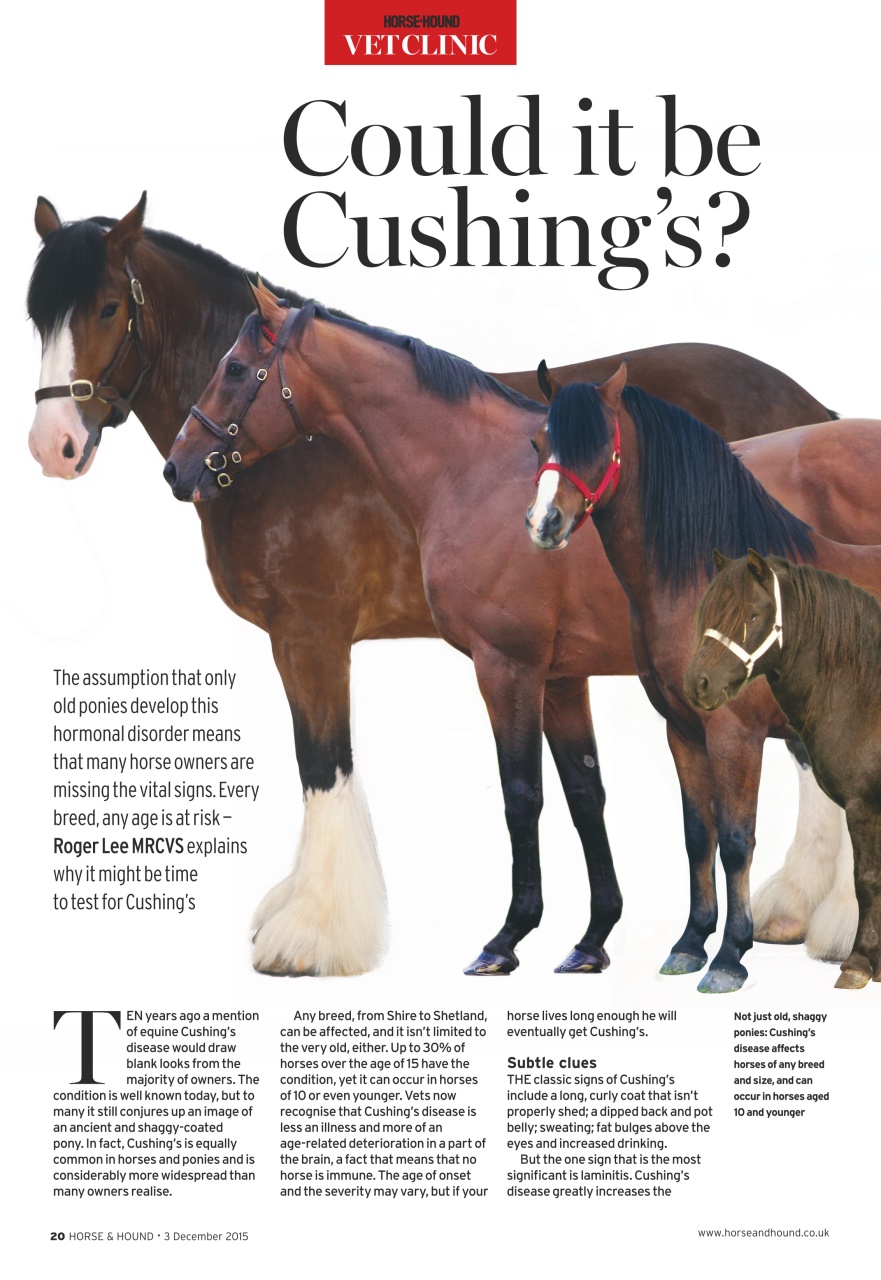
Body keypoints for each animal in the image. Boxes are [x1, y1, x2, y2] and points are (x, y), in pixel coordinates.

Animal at [28, 197, 851, 977]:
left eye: (108, 307)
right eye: (38, 315)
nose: (53, 445)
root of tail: (816, 410)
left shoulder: (321, 639)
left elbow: (333, 765)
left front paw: (318, 934)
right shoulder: (548, 670)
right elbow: (575, 791)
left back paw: (821, 920)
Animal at [685, 552, 881, 991]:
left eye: (752, 614)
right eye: (708, 610)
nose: (696, 684)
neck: (869, 700)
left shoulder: (864, 808)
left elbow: (867, 879)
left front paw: (859, 964)